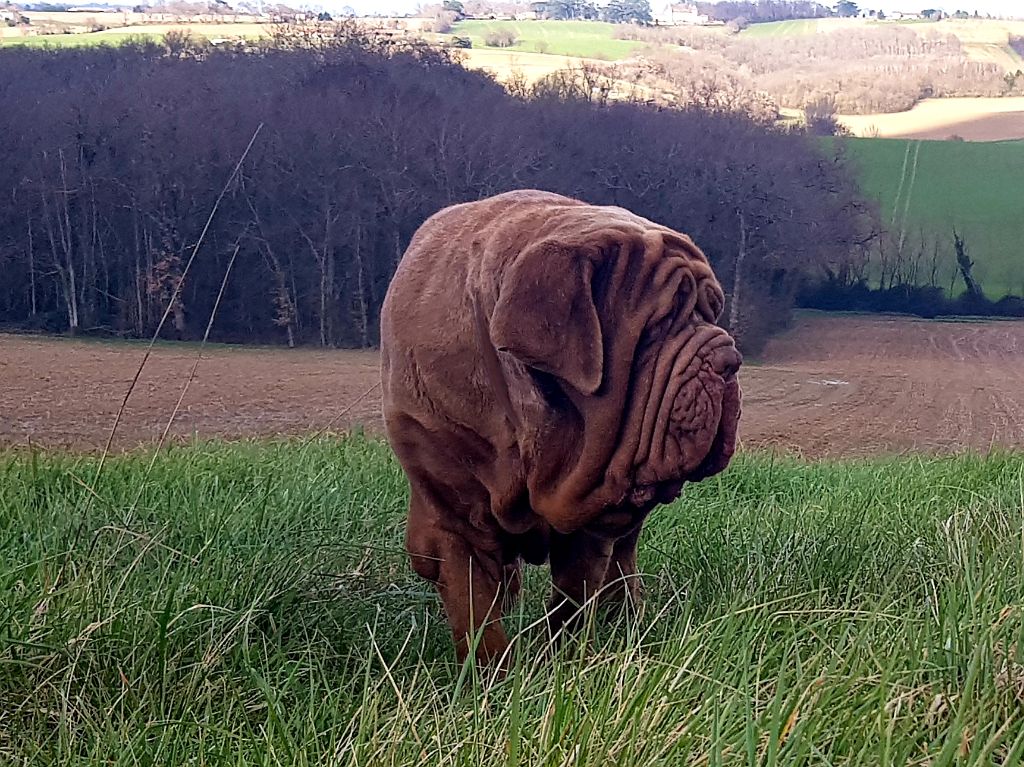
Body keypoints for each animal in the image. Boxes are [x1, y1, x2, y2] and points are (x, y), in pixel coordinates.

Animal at [380, 190, 741, 663]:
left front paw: (563, 660)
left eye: (712, 313)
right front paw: (490, 673)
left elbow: (575, 594)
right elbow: (474, 610)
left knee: (623, 555)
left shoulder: (595, 509)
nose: (729, 359)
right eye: (657, 327)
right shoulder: (451, 515)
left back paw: (627, 613)